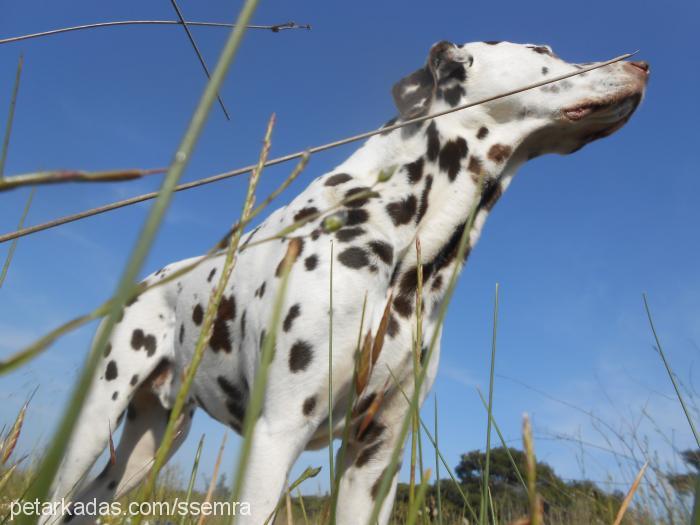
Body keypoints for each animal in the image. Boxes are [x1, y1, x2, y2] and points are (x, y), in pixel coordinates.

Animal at [46, 41, 648, 524]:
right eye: (543, 50)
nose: (640, 63)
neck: (402, 252)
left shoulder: (374, 457)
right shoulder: (275, 435)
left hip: (149, 445)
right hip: (91, 425)